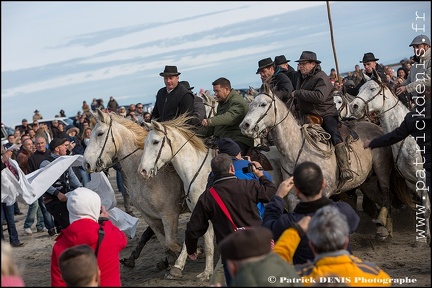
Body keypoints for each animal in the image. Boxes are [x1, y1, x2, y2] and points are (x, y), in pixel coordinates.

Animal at [82, 109, 192, 274]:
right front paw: (169, 261)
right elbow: (165, 243)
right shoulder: (150, 217)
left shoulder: (169, 214)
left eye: (100, 134)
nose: (86, 164)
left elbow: (172, 242)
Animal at [138, 115, 214, 282]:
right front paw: (178, 268)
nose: (142, 171)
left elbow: (208, 243)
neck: (198, 172)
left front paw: (206, 272)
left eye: (155, 141)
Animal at [350, 77, 430, 243]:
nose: (353, 106)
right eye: (359, 89)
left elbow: (426, 208)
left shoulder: (424, 179)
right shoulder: (412, 182)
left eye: (373, 88)